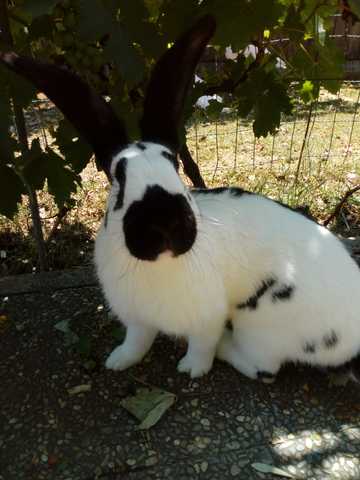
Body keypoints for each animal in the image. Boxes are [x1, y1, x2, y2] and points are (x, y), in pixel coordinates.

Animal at [2, 15, 360, 382]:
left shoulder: (207, 317)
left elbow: (202, 344)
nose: (164, 223)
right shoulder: (137, 318)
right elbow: (137, 341)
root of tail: (352, 346)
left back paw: (226, 347)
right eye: (118, 178)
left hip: (263, 325)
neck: (159, 264)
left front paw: (192, 369)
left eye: (174, 165)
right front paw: (119, 361)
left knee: (263, 368)